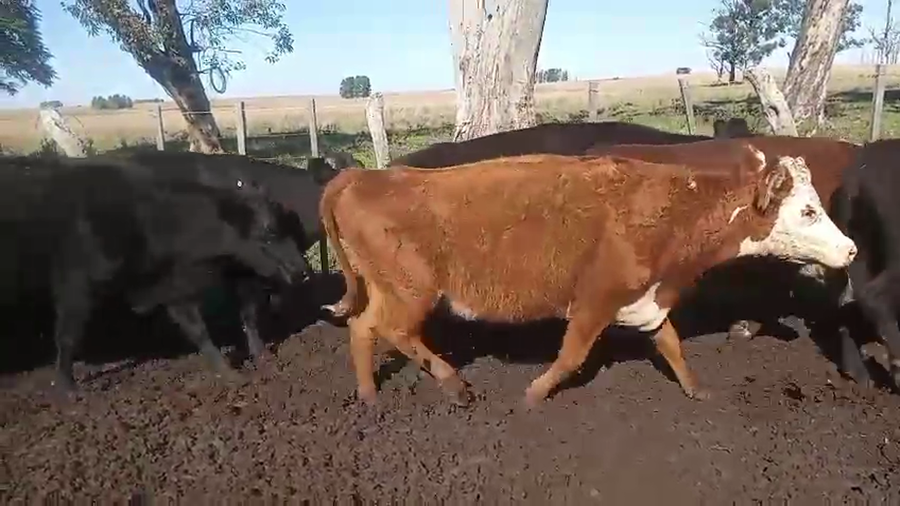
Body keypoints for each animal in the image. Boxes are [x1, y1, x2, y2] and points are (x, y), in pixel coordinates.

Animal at [0, 154, 309, 390]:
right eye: (268, 231)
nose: (302, 269)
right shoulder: (75, 287)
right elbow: (67, 336)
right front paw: (66, 387)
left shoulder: (171, 285)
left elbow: (198, 330)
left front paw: (227, 372)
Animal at [319, 151, 857, 407]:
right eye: (808, 211)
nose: (850, 249)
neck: (671, 212)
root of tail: (363, 176)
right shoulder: (595, 301)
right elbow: (571, 357)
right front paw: (533, 397)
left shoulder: (646, 300)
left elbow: (672, 346)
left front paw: (696, 391)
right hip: (412, 292)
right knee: (393, 330)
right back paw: (453, 385)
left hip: (390, 291)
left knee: (363, 328)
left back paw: (369, 397)